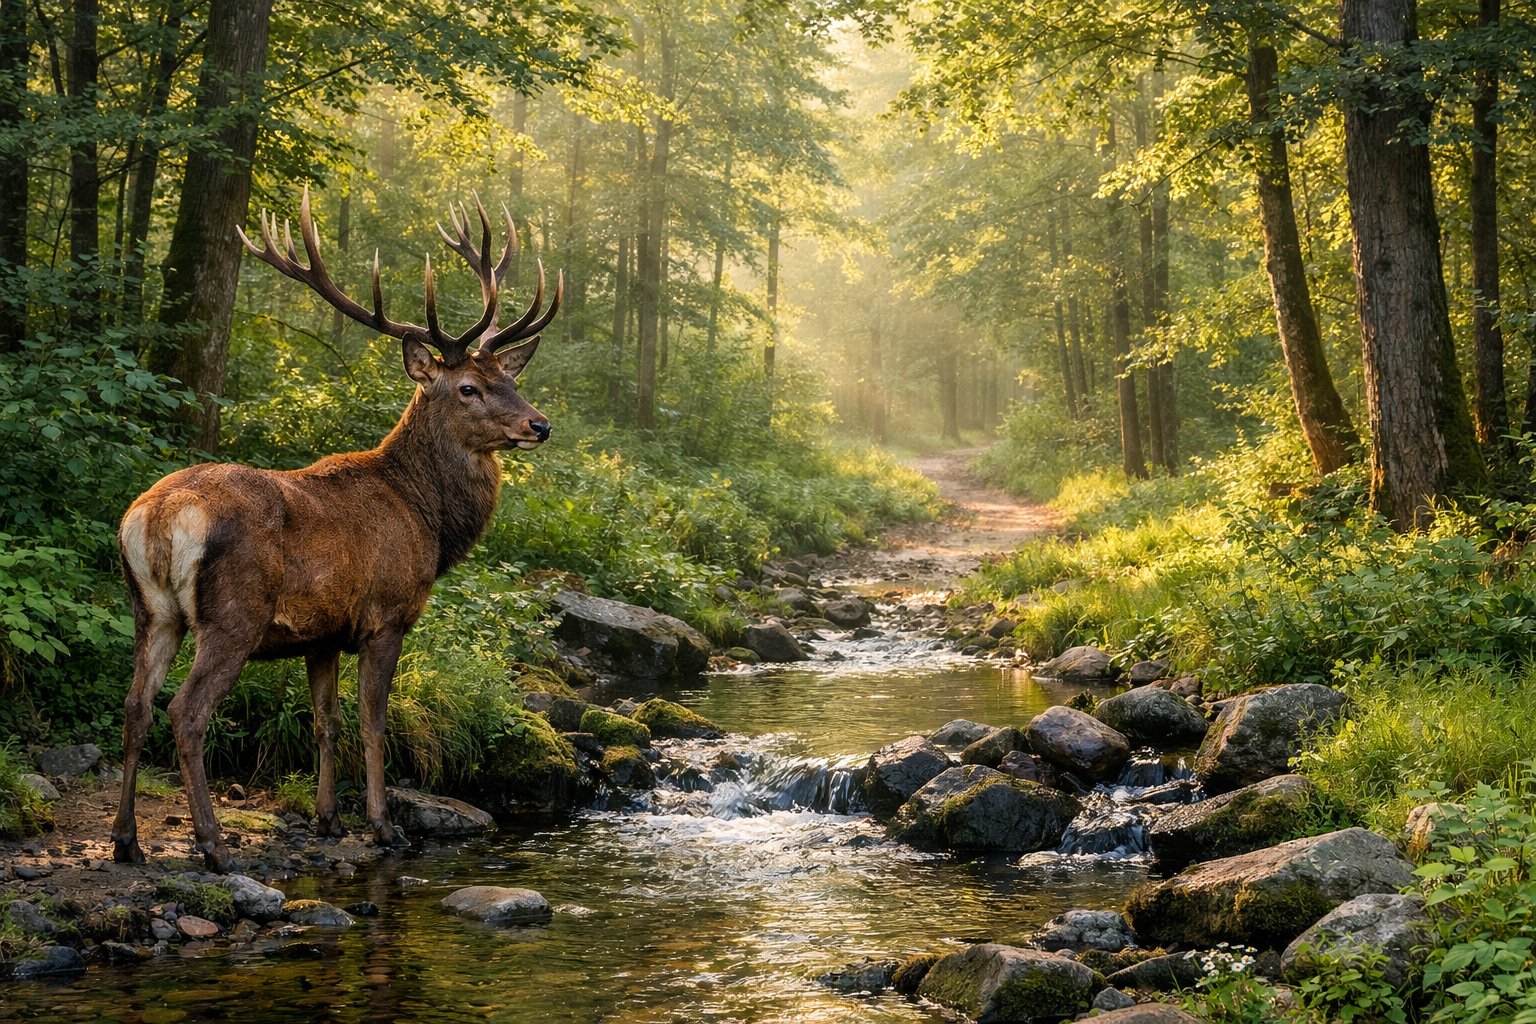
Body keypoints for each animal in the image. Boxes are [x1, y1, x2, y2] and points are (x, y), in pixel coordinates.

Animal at [112, 190, 560, 873]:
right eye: (468, 388)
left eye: (511, 380)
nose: (539, 424)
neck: (427, 517)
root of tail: (158, 516)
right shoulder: (387, 614)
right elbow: (374, 721)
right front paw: (382, 825)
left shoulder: (319, 633)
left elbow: (326, 722)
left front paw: (327, 819)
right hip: (233, 614)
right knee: (184, 712)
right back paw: (214, 845)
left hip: (152, 609)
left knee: (135, 706)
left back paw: (126, 841)